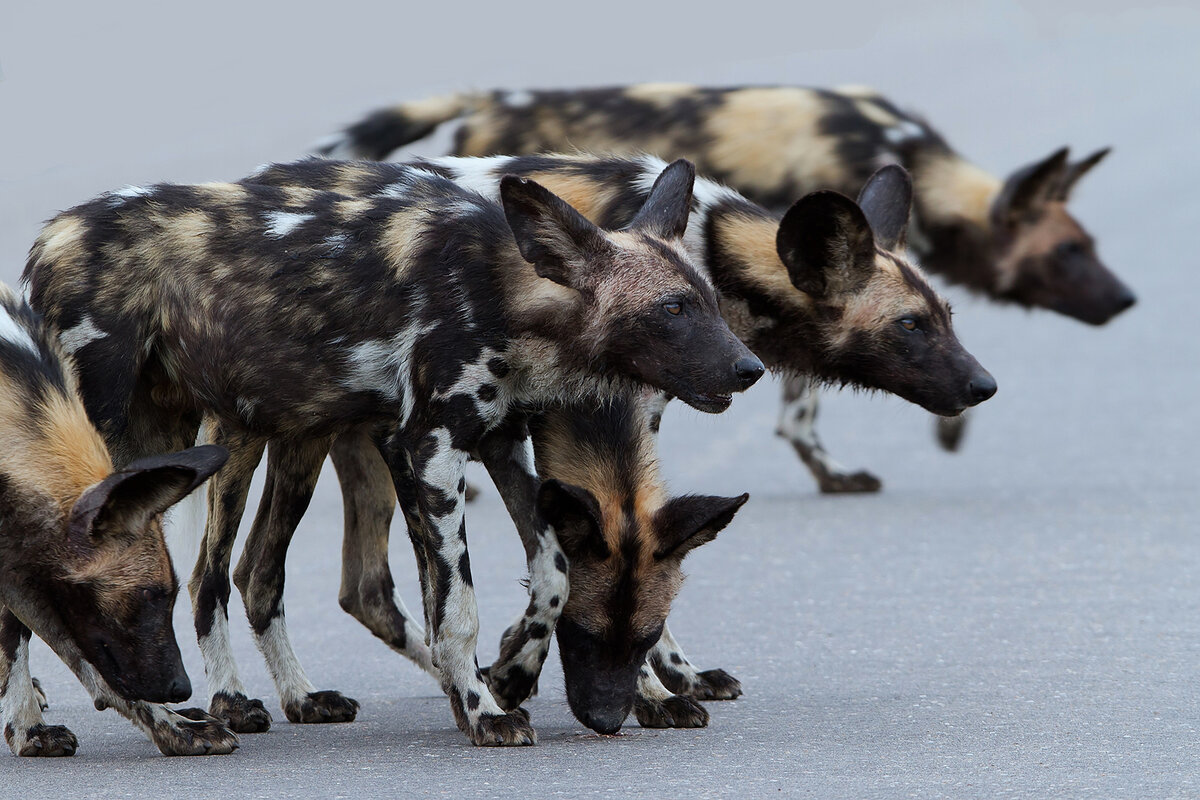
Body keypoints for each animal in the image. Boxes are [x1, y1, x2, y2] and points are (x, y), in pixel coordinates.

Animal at [0, 286, 231, 758]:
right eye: (148, 596)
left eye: (171, 595)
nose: (181, 688)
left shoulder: (25, 572)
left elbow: (97, 671)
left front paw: (180, 728)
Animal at [25, 159, 758, 748]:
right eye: (672, 309)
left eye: (709, 302)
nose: (750, 368)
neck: (506, 293)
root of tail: (51, 234)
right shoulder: (430, 450)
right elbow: (457, 608)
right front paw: (485, 711)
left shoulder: (498, 444)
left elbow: (548, 573)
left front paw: (507, 679)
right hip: (156, 450)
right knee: (201, 577)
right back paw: (165, 714)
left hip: (237, 442)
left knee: (255, 575)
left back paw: (294, 698)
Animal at [241, 153, 993, 729]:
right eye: (910, 326)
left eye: (948, 316)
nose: (985, 385)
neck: (715, 257)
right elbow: (573, 579)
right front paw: (636, 689)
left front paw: (662, 677)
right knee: (254, 576)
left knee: (353, 586)